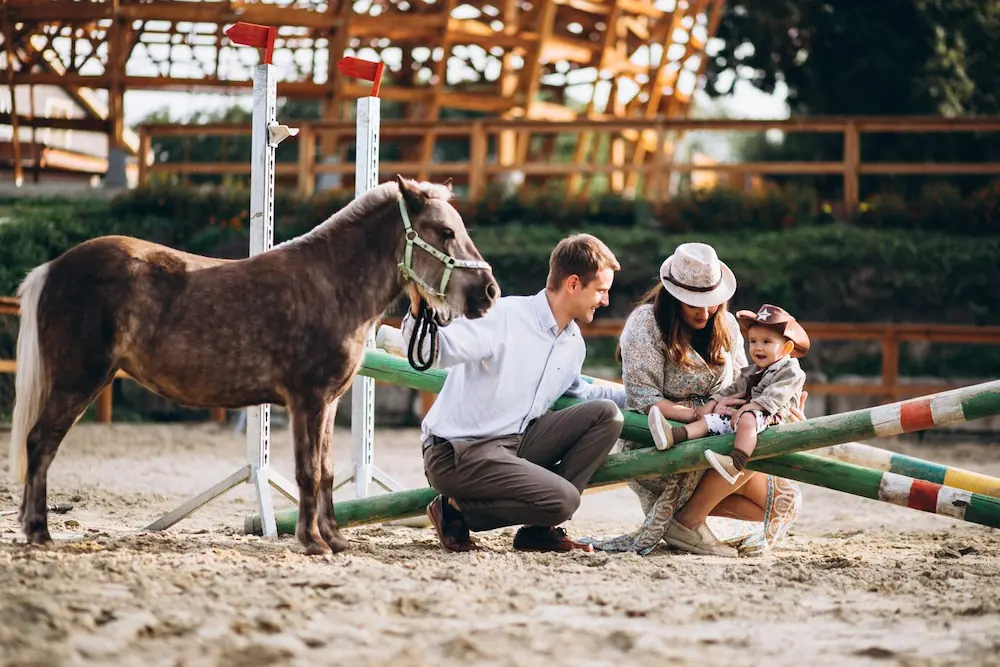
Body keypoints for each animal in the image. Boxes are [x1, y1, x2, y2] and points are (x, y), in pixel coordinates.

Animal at [7, 175, 500, 556]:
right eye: (444, 231)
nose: (489, 292)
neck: (332, 284)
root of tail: (53, 268)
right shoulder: (307, 400)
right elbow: (306, 471)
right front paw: (312, 542)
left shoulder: (329, 403)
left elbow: (325, 471)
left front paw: (335, 539)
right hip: (79, 380)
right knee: (40, 443)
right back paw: (39, 532)